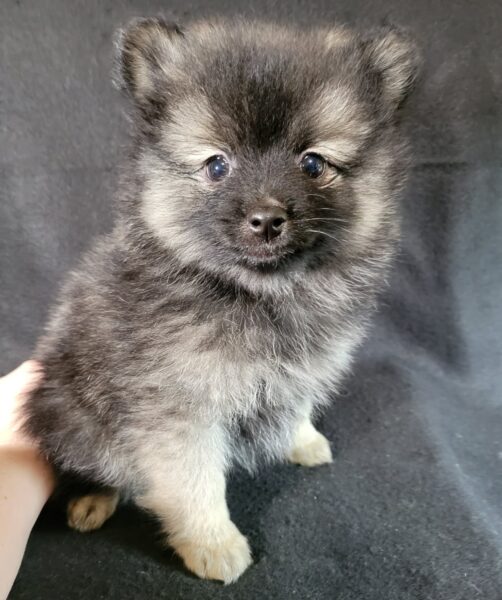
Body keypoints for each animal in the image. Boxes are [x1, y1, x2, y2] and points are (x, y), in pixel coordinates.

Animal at [23, 18, 419, 583]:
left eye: (313, 163)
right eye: (217, 166)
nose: (267, 217)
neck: (256, 293)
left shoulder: (301, 369)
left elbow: (297, 403)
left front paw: (301, 439)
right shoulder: (179, 407)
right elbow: (195, 483)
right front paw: (214, 543)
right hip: (69, 415)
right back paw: (93, 498)